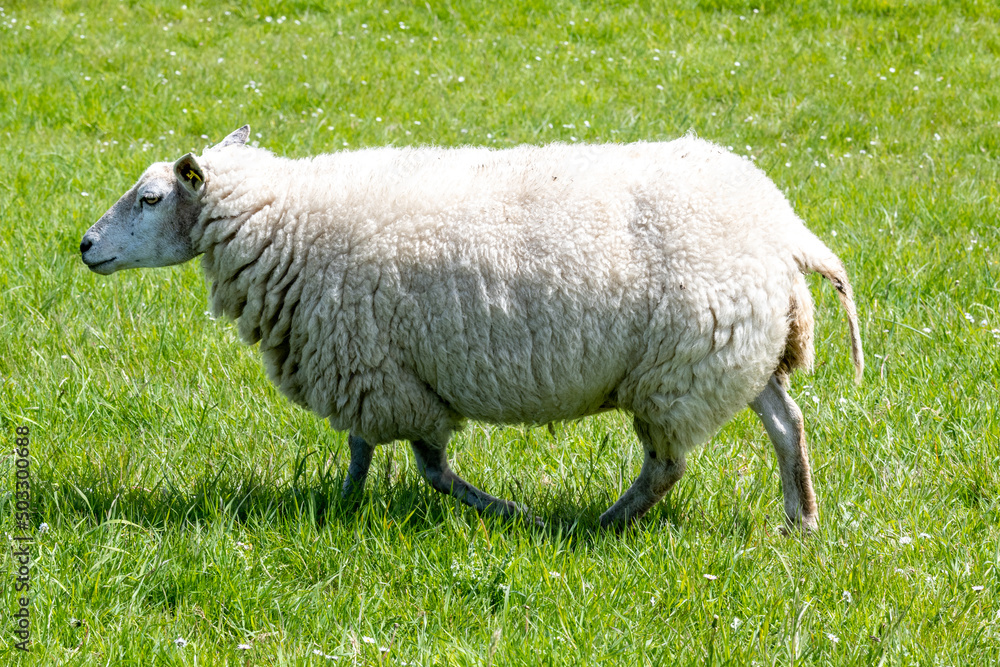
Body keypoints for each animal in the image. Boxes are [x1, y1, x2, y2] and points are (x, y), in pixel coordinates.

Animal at [80, 125, 863, 532]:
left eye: (150, 199)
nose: (85, 246)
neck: (284, 222)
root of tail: (784, 227)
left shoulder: (377, 370)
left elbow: (425, 465)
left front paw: (501, 510)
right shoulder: (370, 369)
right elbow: (370, 454)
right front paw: (340, 507)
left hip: (679, 369)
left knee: (666, 466)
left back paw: (600, 523)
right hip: (736, 350)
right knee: (786, 423)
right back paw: (801, 519)